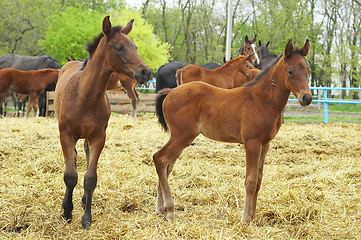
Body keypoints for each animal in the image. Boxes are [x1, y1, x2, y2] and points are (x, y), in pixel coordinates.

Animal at [54, 15, 150, 229]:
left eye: (135, 46)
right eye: (119, 47)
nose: (145, 72)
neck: (84, 96)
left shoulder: (99, 137)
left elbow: (90, 177)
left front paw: (86, 218)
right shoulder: (66, 135)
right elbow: (70, 175)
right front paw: (67, 211)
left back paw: (83, 200)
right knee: (74, 159)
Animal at [152, 39, 310, 223]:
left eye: (307, 69)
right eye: (290, 71)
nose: (307, 98)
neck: (261, 100)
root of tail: (170, 92)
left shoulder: (265, 144)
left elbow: (259, 180)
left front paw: (252, 216)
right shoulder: (252, 143)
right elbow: (250, 181)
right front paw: (245, 219)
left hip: (180, 137)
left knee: (167, 166)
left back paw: (160, 208)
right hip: (182, 136)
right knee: (160, 159)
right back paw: (170, 210)